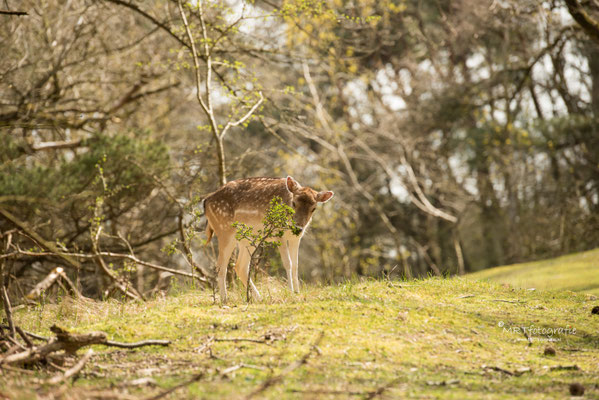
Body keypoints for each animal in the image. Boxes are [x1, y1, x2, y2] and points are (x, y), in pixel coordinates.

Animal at [204, 177, 336, 302]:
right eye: (294, 203)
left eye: (314, 208)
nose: (297, 227)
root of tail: (206, 201)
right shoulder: (279, 234)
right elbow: (287, 263)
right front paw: (290, 292)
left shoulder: (296, 238)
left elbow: (296, 264)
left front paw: (297, 292)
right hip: (224, 230)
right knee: (221, 266)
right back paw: (224, 299)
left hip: (247, 238)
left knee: (240, 266)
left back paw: (259, 298)